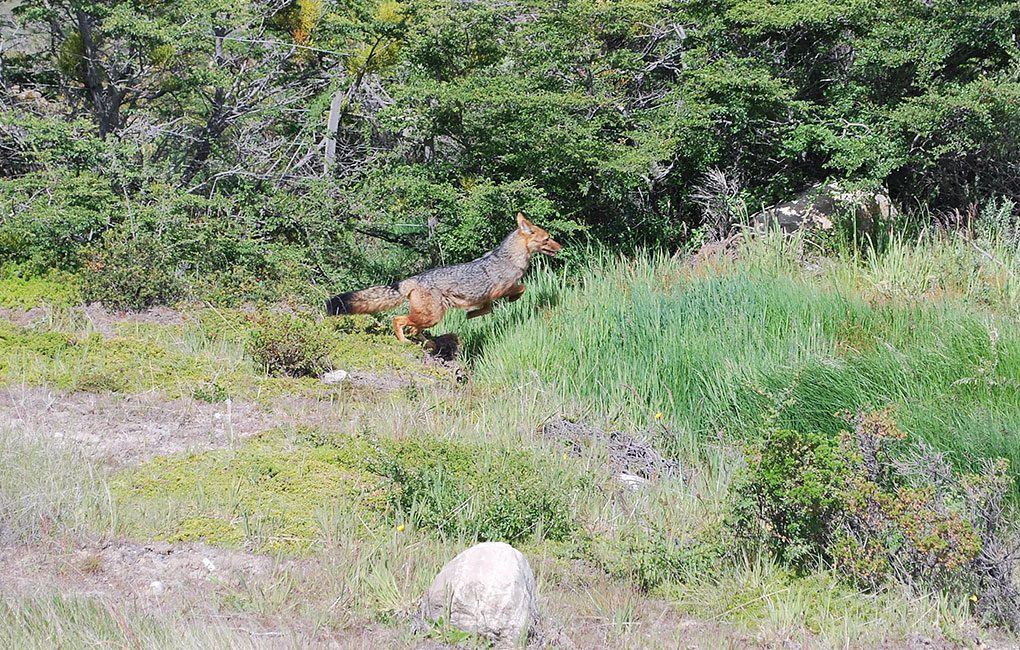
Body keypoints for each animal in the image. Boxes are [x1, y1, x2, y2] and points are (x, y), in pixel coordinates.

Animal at [326, 214, 563, 344]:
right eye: (547, 239)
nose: (560, 247)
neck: (510, 258)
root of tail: (413, 279)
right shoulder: (499, 290)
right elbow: (521, 288)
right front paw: (511, 300)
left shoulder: (485, 297)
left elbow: (486, 309)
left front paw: (471, 315)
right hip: (432, 316)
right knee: (399, 320)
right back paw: (404, 340)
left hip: (431, 317)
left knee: (415, 329)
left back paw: (425, 342)